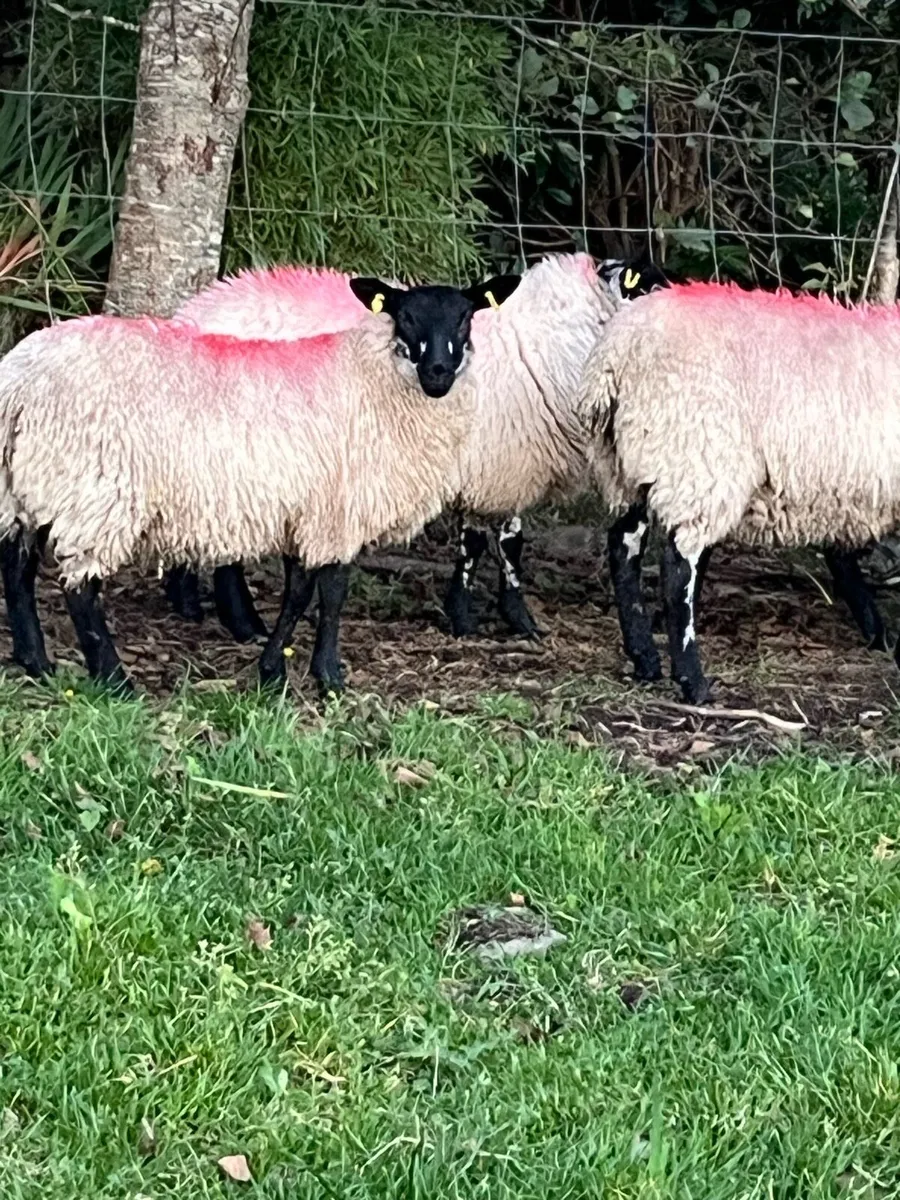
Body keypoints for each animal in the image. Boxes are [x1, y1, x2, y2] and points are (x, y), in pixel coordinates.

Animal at [0, 273, 521, 694]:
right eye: (406, 317)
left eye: (465, 318)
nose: (438, 373)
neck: (372, 379)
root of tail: (20, 379)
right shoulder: (337, 508)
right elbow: (332, 592)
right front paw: (327, 677)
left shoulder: (305, 508)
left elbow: (299, 591)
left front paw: (273, 671)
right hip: (95, 489)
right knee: (79, 589)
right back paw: (113, 680)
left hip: (30, 483)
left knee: (17, 570)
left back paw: (36, 662)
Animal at [577, 279, 900, 704]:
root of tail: (616, 353)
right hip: (696, 454)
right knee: (677, 569)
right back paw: (693, 682)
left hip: (633, 464)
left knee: (624, 547)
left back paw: (645, 658)